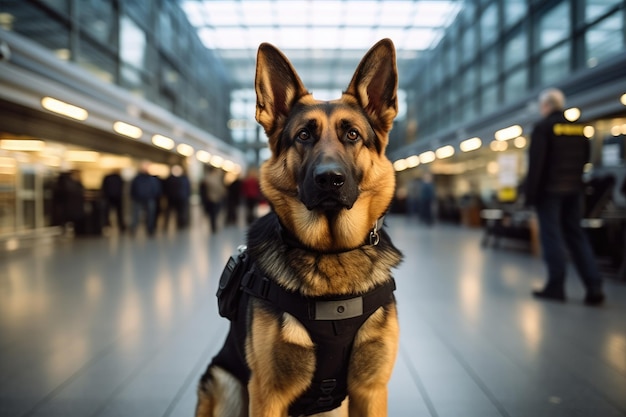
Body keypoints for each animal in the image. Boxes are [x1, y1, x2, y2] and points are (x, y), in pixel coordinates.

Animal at [194, 38, 400, 416]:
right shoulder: (266, 394)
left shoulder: (371, 390)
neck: (330, 253)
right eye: (304, 135)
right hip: (224, 382)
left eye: (352, 134)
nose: (330, 179)